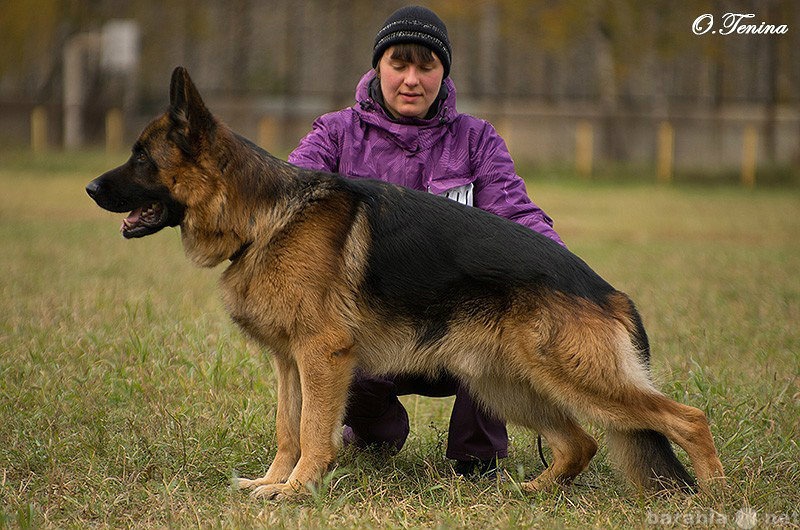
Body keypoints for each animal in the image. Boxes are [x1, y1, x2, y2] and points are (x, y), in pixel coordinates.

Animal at [87, 68, 724, 498]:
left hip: (576, 378)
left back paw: (715, 496)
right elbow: (287, 428)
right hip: (505, 382)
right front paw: (272, 483)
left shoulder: (321, 356)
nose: (90, 188)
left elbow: (312, 431)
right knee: (581, 443)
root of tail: (610, 291)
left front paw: (295, 493)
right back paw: (530, 494)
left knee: (688, 419)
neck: (264, 217)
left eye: (141, 158)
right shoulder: (289, 362)